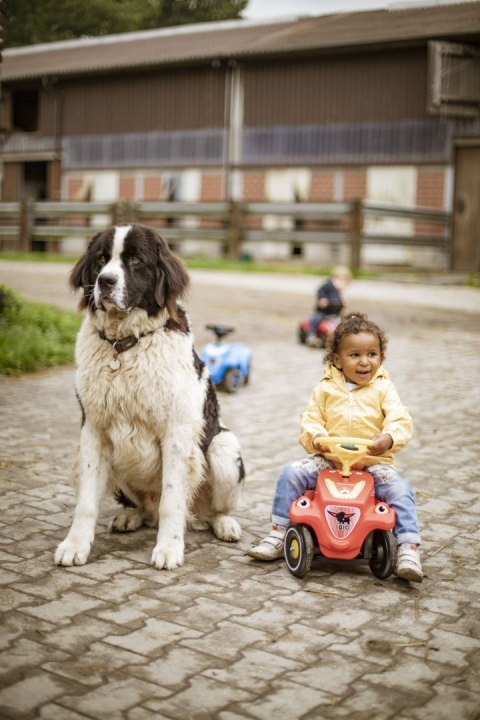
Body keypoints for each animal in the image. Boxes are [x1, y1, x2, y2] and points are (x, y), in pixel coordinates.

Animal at [55, 222, 244, 572]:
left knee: (210, 509)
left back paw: (224, 524)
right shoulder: (93, 430)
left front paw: (169, 548)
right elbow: (86, 501)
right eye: (101, 259)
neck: (125, 345)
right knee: (145, 509)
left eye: (135, 261)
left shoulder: (176, 433)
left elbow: (172, 499)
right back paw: (131, 516)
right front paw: (75, 545)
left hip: (224, 449)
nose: (105, 281)